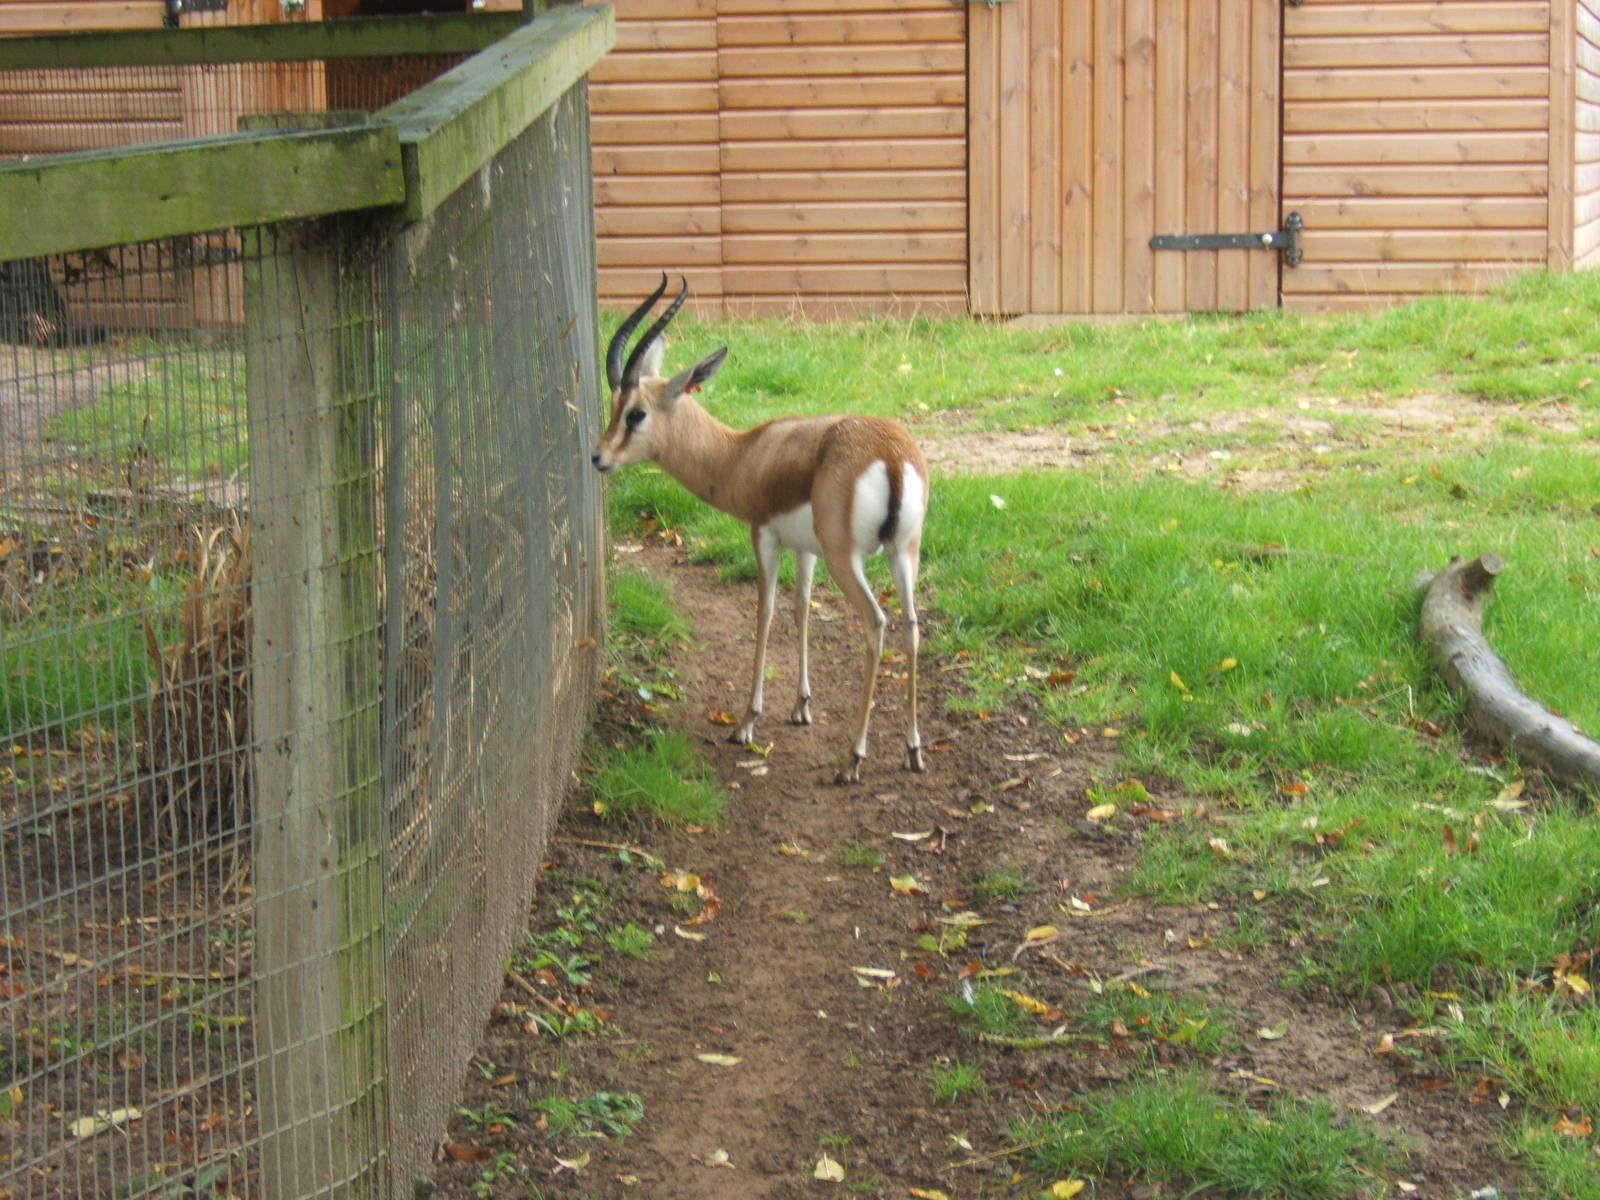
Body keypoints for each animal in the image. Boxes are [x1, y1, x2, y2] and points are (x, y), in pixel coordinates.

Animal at [591, 274, 929, 785]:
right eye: (614, 407)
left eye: (636, 413)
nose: (599, 457)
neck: (744, 454)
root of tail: (889, 453)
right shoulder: (805, 549)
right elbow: (801, 607)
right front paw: (801, 706)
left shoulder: (763, 535)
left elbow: (765, 611)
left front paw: (746, 722)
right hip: (902, 552)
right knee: (910, 626)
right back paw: (912, 749)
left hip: (848, 559)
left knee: (876, 623)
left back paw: (852, 758)